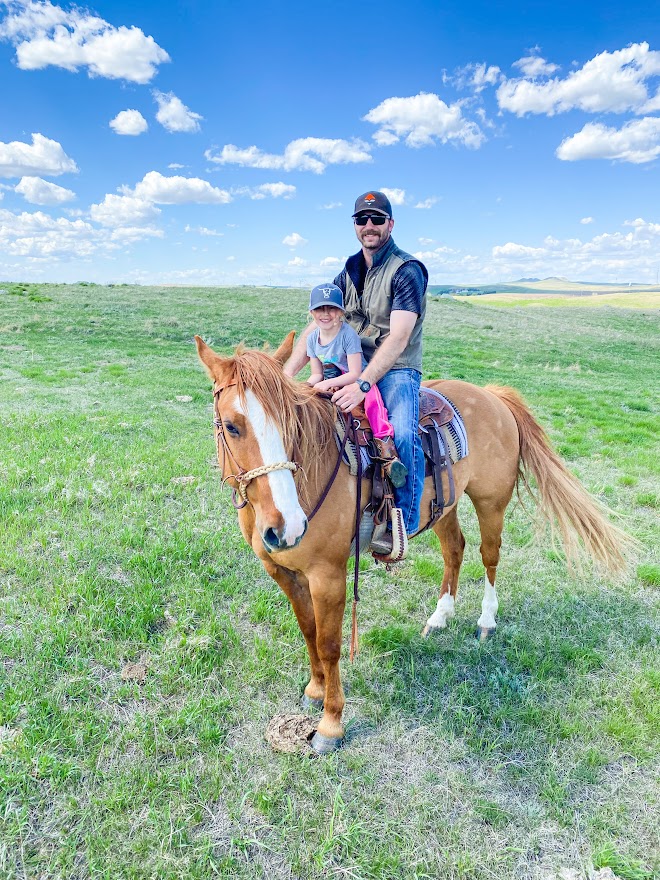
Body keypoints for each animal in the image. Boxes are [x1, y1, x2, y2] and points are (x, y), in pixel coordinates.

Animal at [195, 334, 628, 752]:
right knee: (455, 550)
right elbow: (308, 631)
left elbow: (330, 643)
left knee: (489, 556)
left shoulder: (328, 576)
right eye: (231, 426)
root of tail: (492, 395)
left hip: (491, 503)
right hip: (445, 506)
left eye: (290, 425)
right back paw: (440, 617)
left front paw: (331, 725)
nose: (287, 526)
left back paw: (486, 621)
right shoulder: (283, 572)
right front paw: (314, 690)